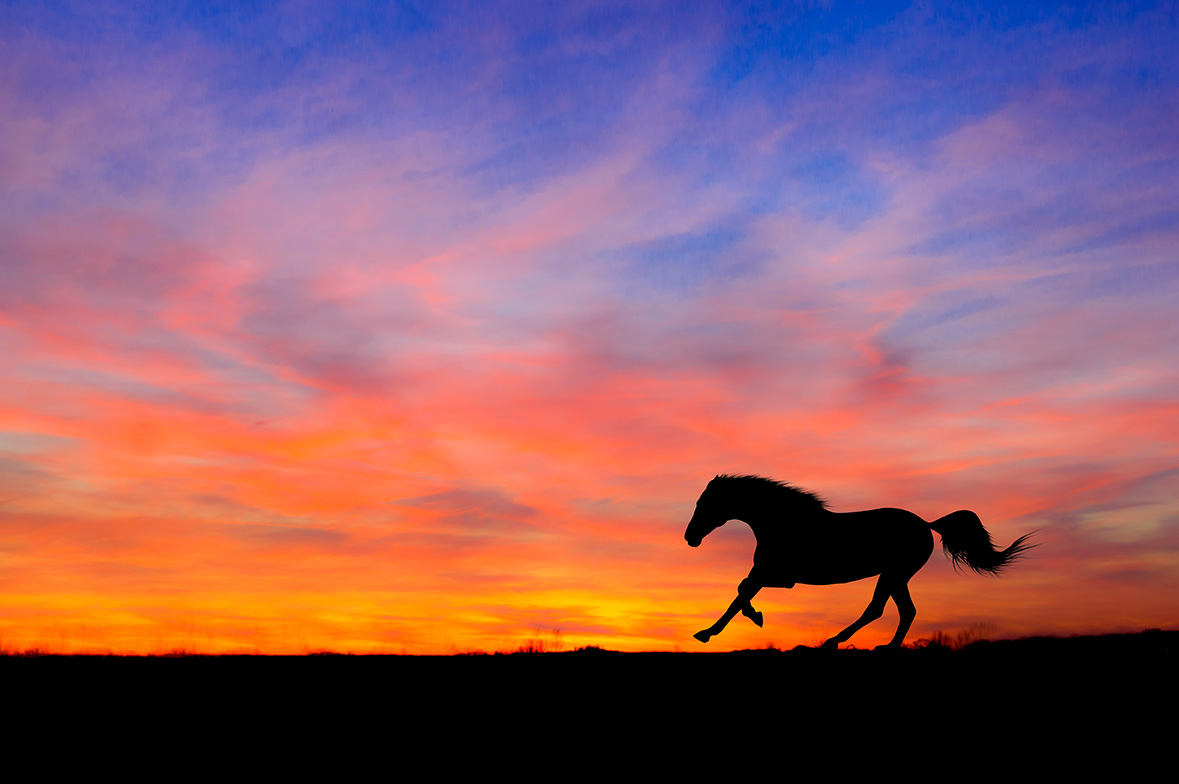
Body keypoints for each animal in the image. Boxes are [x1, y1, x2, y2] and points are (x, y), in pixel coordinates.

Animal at [684, 474, 1034, 649]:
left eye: (705, 503)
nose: (690, 538)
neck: (783, 523)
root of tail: (926, 523)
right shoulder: (768, 574)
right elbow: (740, 592)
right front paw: (716, 630)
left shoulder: (779, 576)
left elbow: (740, 593)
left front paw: (727, 627)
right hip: (896, 575)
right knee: (903, 610)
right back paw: (881, 647)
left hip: (894, 573)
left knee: (879, 609)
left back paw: (837, 642)